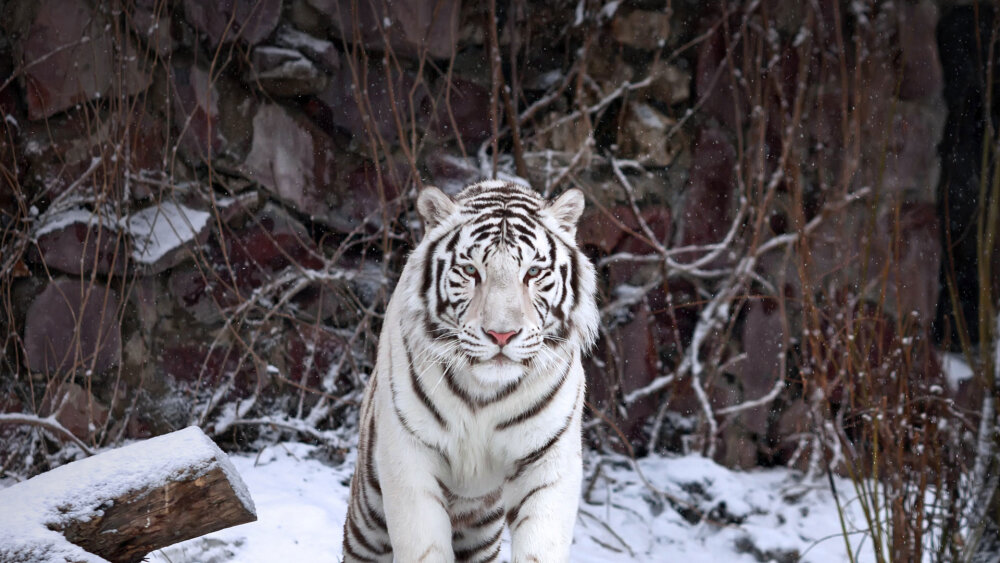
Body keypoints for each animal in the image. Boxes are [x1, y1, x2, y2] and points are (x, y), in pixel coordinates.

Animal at [344, 181, 596, 563]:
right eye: (471, 271)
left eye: (533, 273)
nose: (502, 334)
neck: (485, 393)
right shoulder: (409, 455)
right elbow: (424, 546)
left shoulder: (548, 459)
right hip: (368, 519)